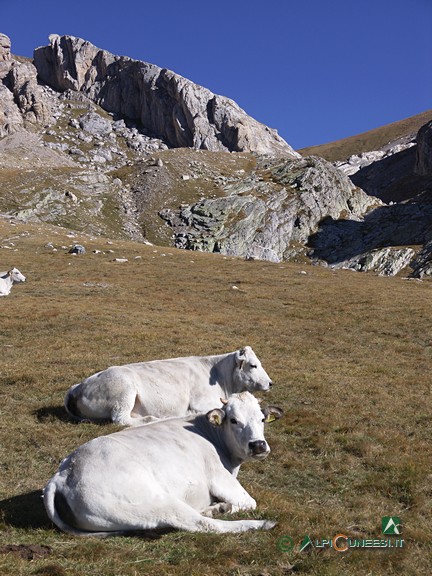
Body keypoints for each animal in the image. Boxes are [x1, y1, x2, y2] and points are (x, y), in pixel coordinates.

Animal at [44, 392, 282, 536]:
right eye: (233, 420)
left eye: (262, 419)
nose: (258, 445)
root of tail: (65, 472)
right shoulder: (220, 477)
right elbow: (249, 502)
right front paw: (226, 507)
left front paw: (220, 506)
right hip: (155, 502)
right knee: (201, 524)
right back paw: (259, 523)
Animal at [65, 344, 274, 426]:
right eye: (253, 365)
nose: (271, 383)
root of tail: (79, 386)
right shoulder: (201, 402)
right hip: (124, 391)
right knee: (121, 419)